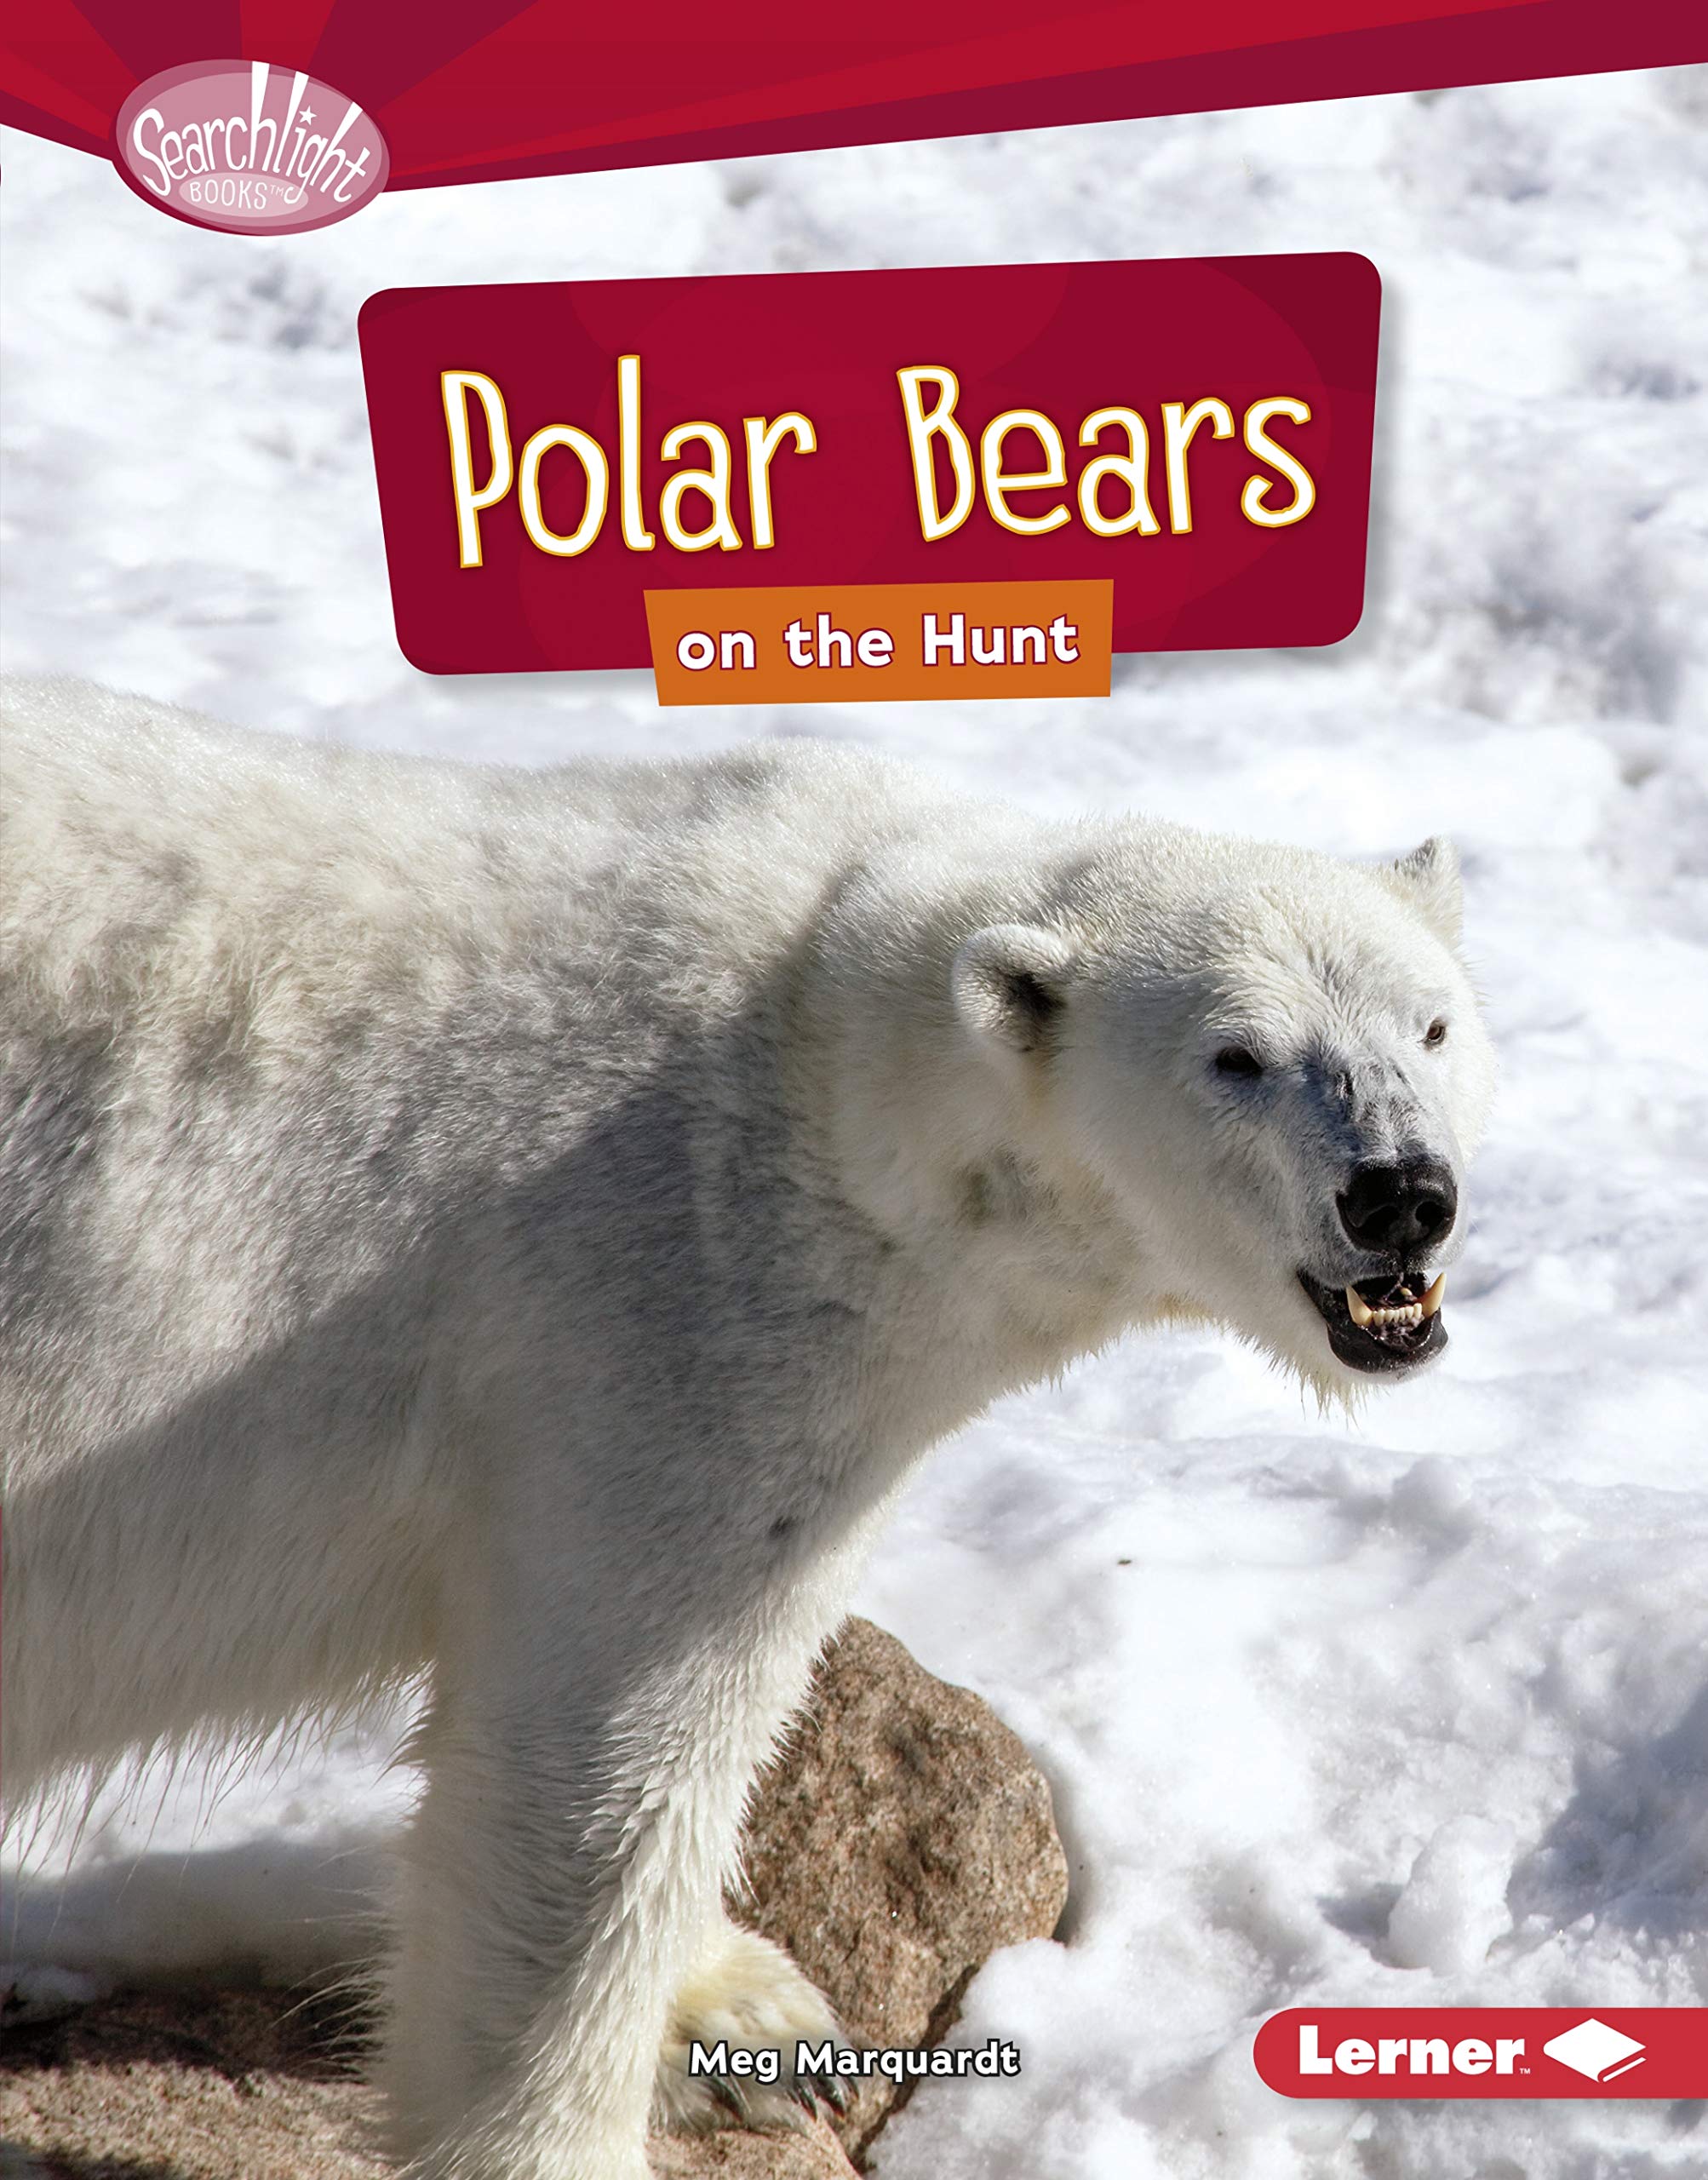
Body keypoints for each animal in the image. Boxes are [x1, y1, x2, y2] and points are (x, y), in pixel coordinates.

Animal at [0, 678, 1495, 2179]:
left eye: (1430, 1025)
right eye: (1234, 1056)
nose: (1398, 1196)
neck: (829, 1069)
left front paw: (738, 2016)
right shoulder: (656, 1324)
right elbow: (603, 1760)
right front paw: (574, 2123)